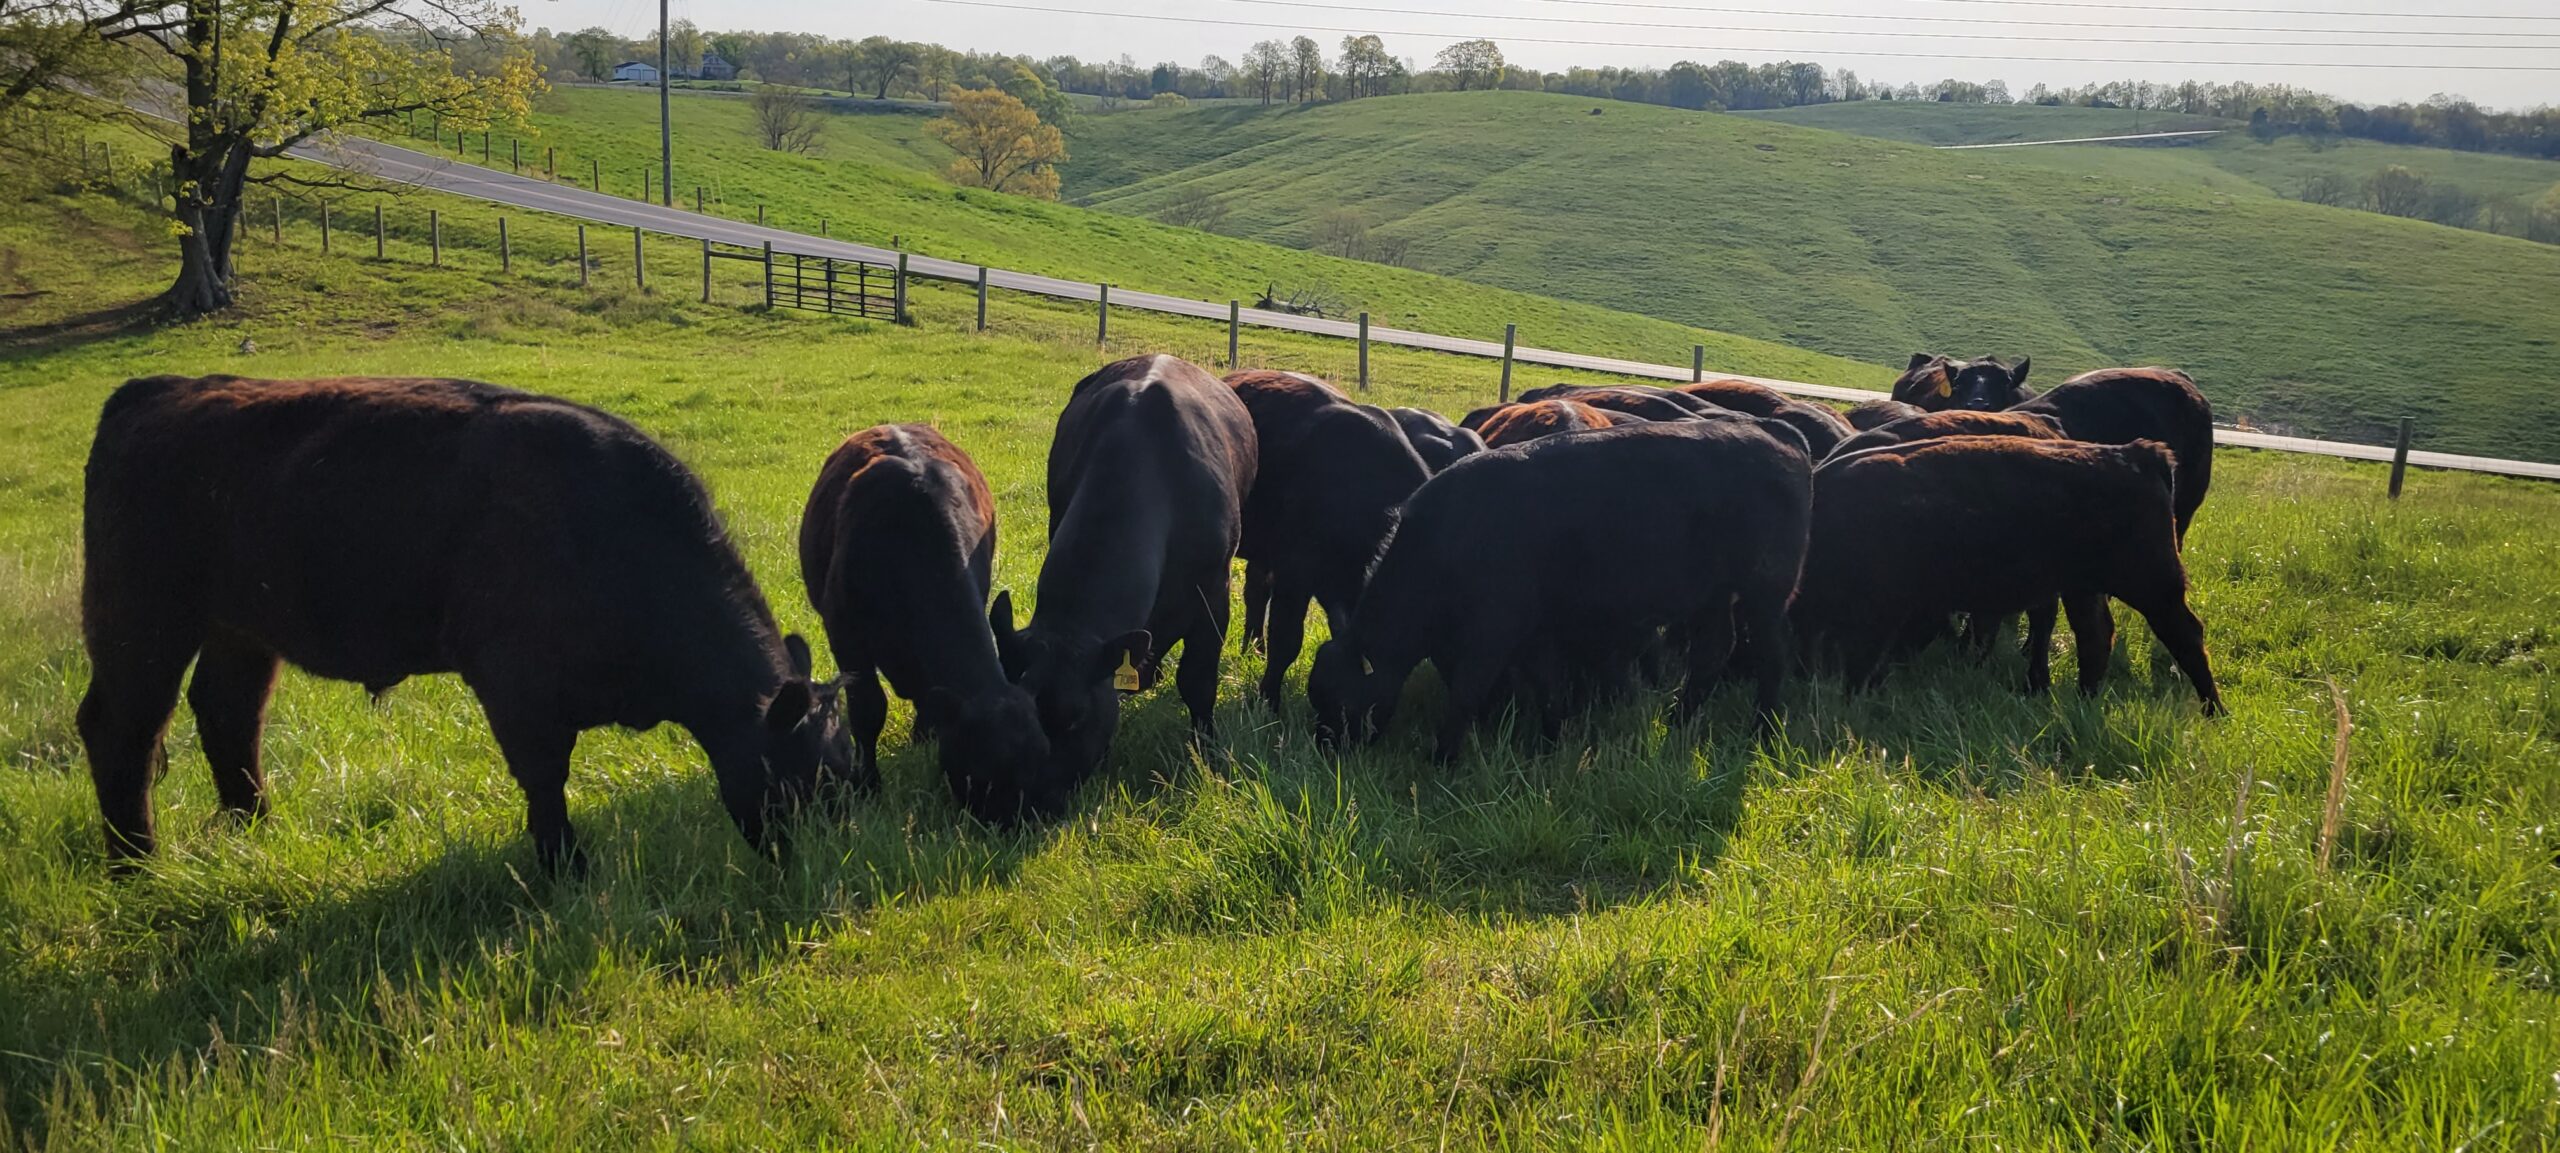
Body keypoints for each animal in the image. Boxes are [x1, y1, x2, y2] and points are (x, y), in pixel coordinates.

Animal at [78, 375, 850, 873]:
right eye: (806, 779)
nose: (826, 853)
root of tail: (153, 390)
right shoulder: (516, 687)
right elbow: (545, 780)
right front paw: (565, 869)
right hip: (141, 619)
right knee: (121, 729)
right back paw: (136, 868)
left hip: (240, 629)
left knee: (228, 712)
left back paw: (254, 829)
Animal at [798, 424, 1046, 822]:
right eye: (982, 770)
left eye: (1044, 752)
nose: (1032, 817)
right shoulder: (846, 636)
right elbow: (868, 708)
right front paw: (868, 783)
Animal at [1307, 418, 1814, 761]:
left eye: (1340, 702)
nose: (1326, 748)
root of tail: (1773, 432)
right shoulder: (1536, 632)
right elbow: (1549, 688)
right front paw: (1550, 743)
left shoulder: (1493, 632)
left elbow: (1468, 692)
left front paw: (1443, 757)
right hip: (1712, 598)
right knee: (1712, 653)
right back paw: (1679, 720)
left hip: (1765, 594)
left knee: (1773, 654)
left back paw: (1763, 729)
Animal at [1792, 436, 2221, 713]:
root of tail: (2135, 453)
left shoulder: (1883, 610)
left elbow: (1863, 657)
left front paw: (1854, 698)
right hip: (2083, 588)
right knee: (2096, 637)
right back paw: (2082, 702)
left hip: (2152, 585)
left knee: (2185, 634)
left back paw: (2214, 710)